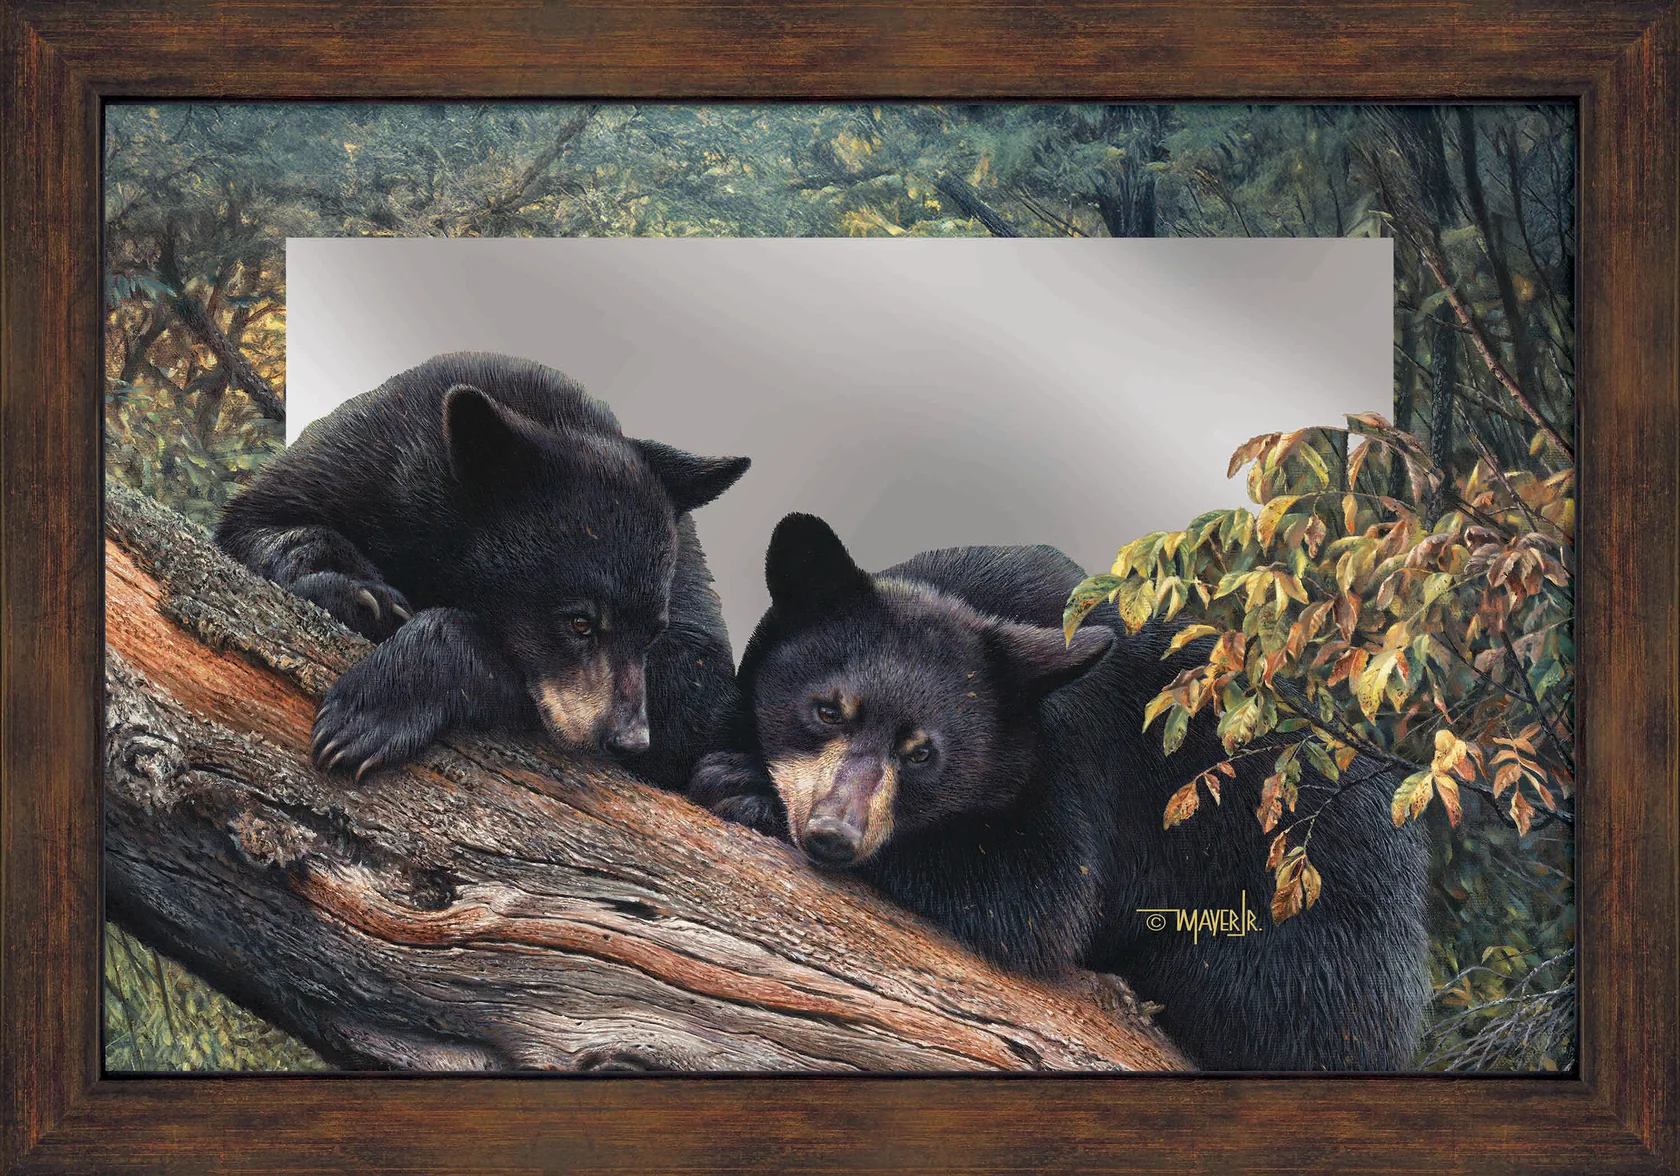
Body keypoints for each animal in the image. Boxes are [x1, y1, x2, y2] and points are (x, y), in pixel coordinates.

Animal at [215, 352, 749, 791]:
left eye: (652, 634)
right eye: (579, 622)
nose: (630, 739)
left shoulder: (686, 588)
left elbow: (695, 692)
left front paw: (366, 712)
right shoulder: (358, 459)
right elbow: (252, 527)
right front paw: (362, 594)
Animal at [690, 512, 1431, 1071]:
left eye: (923, 753)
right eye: (826, 709)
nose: (832, 835)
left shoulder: (1078, 761)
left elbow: (1036, 894)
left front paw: (745, 785)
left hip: (1307, 940)